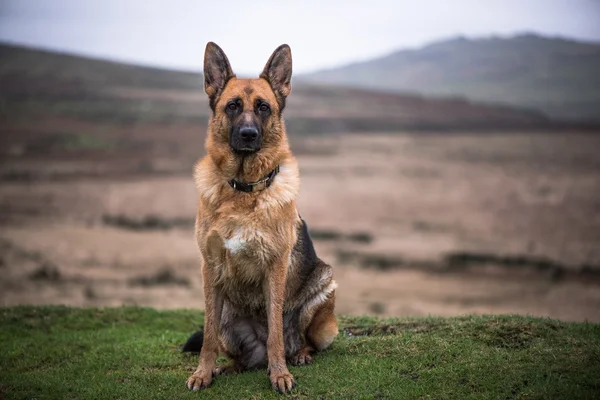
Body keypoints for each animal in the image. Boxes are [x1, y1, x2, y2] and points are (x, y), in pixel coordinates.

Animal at [184, 42, 338, 392]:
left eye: (264, 107)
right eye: (232, 106)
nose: (248, 134)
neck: (244, 189)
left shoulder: (276, 265)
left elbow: (276, 333)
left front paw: (280, 374)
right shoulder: (209, 267)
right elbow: (208, 334)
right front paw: (203, 372)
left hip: (324, 286)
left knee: (295, 340)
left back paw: (299, 355)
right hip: (228, 316)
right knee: (242, 355)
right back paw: (228, 368)